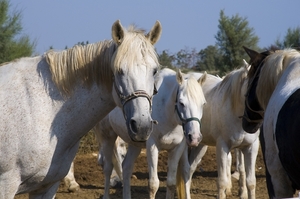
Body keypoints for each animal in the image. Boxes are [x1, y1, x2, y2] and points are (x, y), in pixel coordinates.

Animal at [96, 67, 206, 198]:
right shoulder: (152, 146)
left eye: (203, 104)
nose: (195, 137)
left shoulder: (176, 148)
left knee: (126, 168)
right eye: (181, 103)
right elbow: (153, 184)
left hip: (135, 144)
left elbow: (171, 182)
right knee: (108, 168)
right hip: (107, 137)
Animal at [183, 63, 260, 199]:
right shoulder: (222, 146)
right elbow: (222, 181)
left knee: (190, 169)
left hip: (200, 144)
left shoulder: (251, 147)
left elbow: (251, 182)